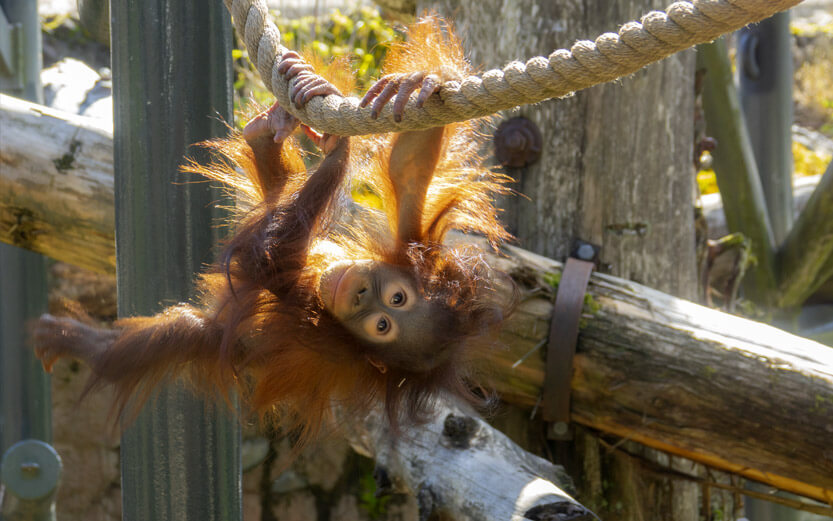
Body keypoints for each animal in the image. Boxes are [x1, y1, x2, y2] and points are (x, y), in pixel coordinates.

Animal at [33, 16, 514, 445]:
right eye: (396, 299)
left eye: (382, 326)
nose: (362, 295)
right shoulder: (419, 253)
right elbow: (408, 170)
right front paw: (418, 86)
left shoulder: (324, 338)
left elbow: (264, 265)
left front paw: (340, 150)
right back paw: (271, 130)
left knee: (183, 333)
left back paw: (77, 343)